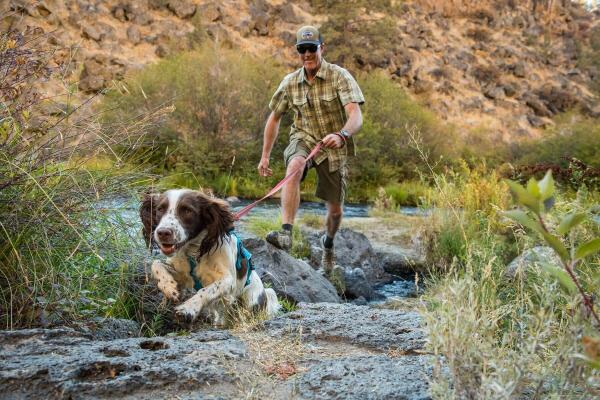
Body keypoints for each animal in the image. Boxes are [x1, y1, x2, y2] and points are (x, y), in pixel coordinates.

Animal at [141, 188, 282, 324]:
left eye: (187, 210)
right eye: (160, 209)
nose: (163, 233)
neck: (194, 250)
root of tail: (264, 294)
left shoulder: (228, 280)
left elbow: (207, 290)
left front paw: (187, 308)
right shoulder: (183, 275)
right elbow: (156, 264)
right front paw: (169, 287)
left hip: (250, 302)